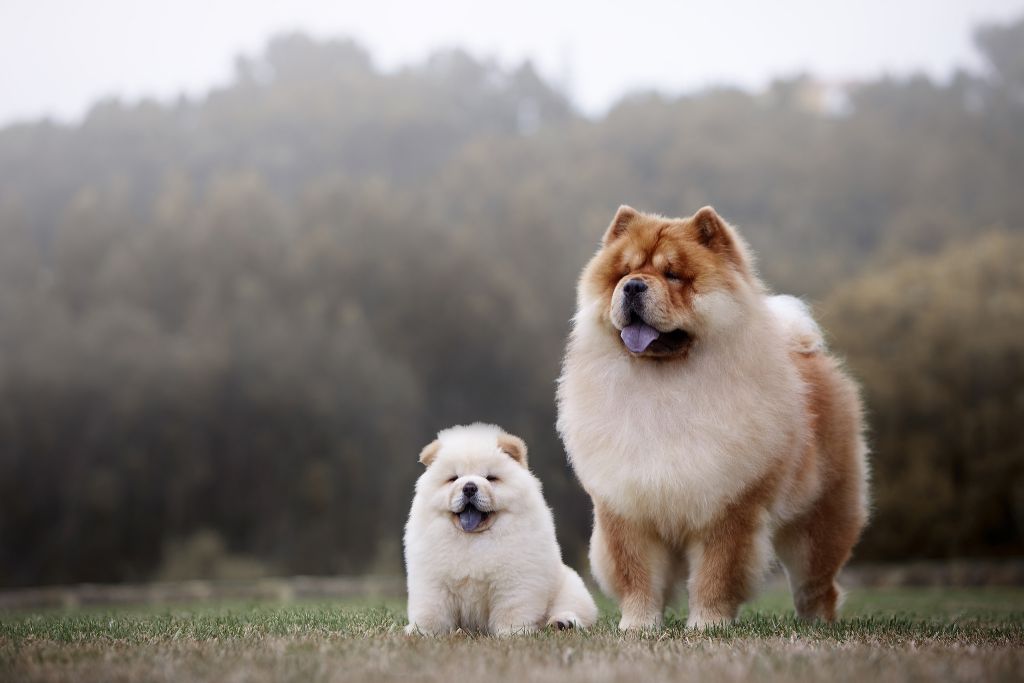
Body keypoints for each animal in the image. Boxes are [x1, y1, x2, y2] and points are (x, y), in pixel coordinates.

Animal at [401, 421, 598, 634]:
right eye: (453, 478)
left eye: (491, 478)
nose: (469, 487)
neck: (473, 539)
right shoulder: (433, 581)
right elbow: (432, 611)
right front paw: (422, 632)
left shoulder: (514, 581)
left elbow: (512, 610)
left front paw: (512, 633)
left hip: (569, 587)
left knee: (572, 608)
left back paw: (562, 623)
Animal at [557, 204, 868, 630]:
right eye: (624, 272)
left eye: (673, 274)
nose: (633, 286)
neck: (663, 383)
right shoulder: (628, 509)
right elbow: (637, 576)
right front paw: (638, 625)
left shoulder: (728, 509)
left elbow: (715, 575)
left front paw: (707, 624)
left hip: (819, 522)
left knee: (817, 584)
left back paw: (816, 625)